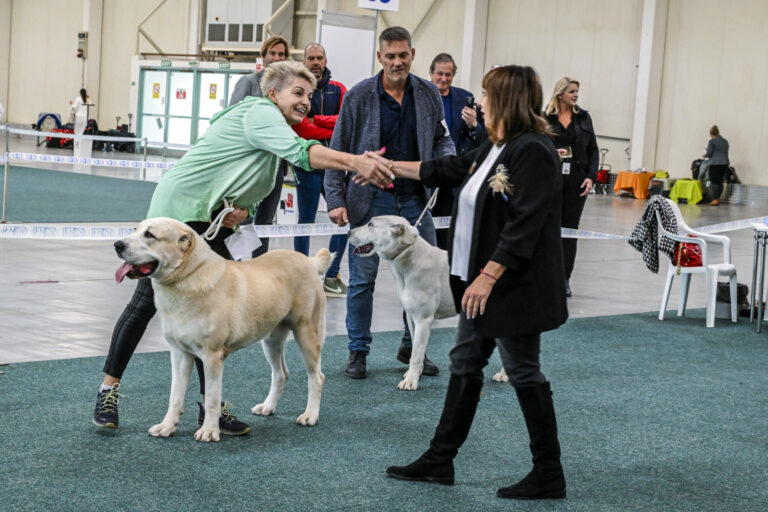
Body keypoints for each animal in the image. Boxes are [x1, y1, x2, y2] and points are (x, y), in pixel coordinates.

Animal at [114, 217, 330, 442]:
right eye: (135, 230)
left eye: (150, 235)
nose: (117, 245)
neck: (187, 276)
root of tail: (310, 261)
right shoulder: (180, 353)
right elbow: (175, 395)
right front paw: (166, 426)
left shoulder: (212, 355)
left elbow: (212, 397)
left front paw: (209, 431)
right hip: (271, 339)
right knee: (281, 374)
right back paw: (267, 407)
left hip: (307, 333)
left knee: (316, 377)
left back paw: (310, 415)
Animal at [348, 215, 457, 390]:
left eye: (371, 224)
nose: (348, 232)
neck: (407, 254)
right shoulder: (412, 318)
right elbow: (415, 349)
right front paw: (415, 373)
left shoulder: (423, 320)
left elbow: (416, 354)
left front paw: (411, 381)